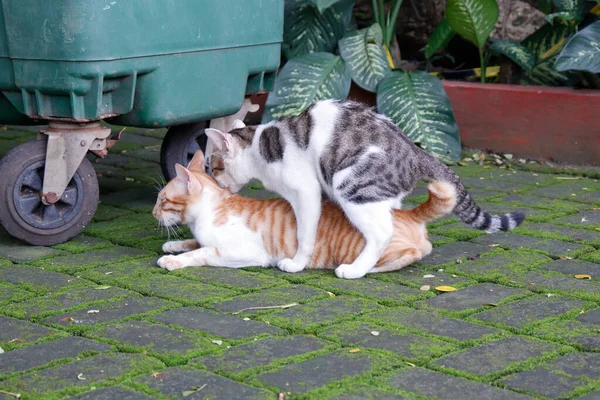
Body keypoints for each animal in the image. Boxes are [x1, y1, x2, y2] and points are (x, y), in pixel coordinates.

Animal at [152, 152, 458, 276]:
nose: (153, 211)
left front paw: (172, 260)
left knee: (412, 253)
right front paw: (173, 244)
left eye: (162, 199)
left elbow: (201, 252)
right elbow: (193, 242)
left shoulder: (244, 253)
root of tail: (407, 214)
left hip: (364, 248)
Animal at [204, 99, 524, 278]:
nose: (214, 182)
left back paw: (356, 270)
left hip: (350, 184)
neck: (261, 147)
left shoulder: (307, 193)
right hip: (375, 197)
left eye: (212, 166)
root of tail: (415, 150)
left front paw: (296, 263)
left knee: (382, 234)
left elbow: (305, 234)